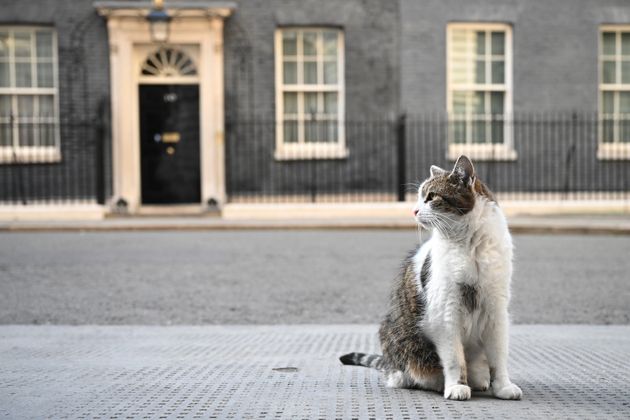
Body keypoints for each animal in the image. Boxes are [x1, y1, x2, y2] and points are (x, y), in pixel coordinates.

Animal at [340, 156, 524, 402]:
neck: (469, 246)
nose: (414, 210)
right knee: (404, 374)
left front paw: (503, 386)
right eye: (419, 197)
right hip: (397, 339)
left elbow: (499, 357)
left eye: (431, 196)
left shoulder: (496, 311)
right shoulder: (446, 313)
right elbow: (455, 359)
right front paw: (457, 386)